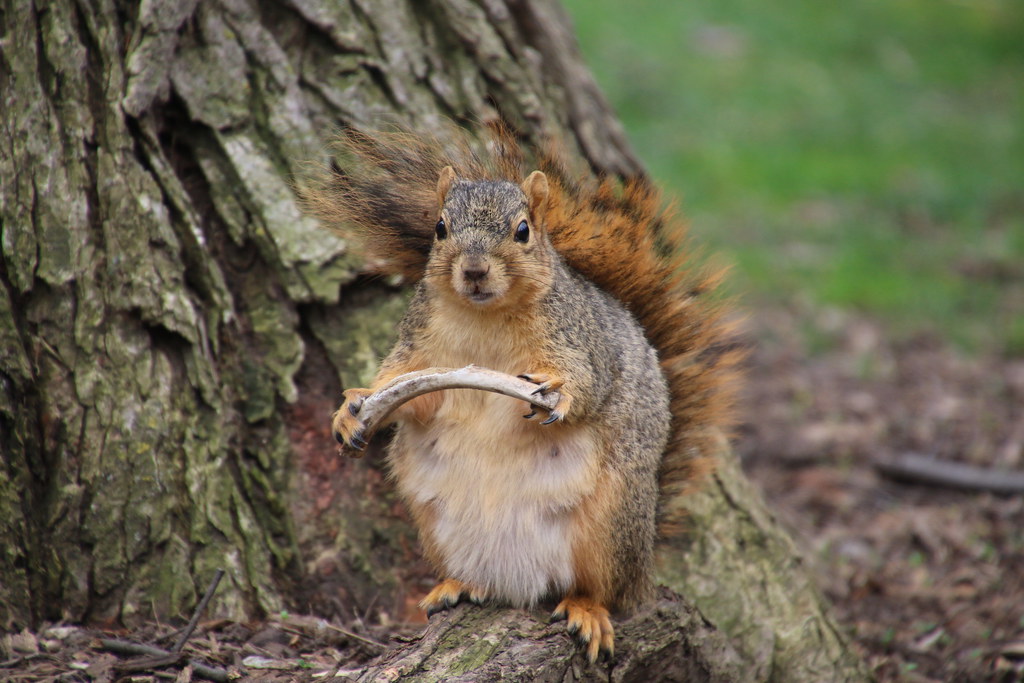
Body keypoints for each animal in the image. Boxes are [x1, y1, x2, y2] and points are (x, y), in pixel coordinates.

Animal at [303, 124, 740, 662]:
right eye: (440, 228)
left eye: (523, 231)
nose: (473, 270)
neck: (484, 316)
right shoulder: (420, 348)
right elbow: (409, 390)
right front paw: (352, 409)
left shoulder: (580, 341)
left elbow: (589, 381)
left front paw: (560, 394)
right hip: (435, 523)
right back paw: (456, 585)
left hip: (610, 523)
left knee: (603, 590)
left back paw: (587, 611)